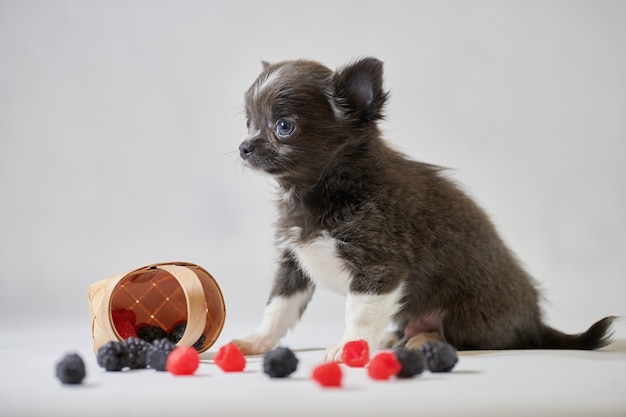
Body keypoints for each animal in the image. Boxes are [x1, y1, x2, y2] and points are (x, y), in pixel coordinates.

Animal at [232, 56, 612, 360]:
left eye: (284, 127)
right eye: (248, 123)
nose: (243, 147)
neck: (320, 190)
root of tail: (535, 323)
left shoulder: (378, 267)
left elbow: (358, 313)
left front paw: (350, 348)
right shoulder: (294, 263)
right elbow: (278, 309)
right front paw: (257, 341)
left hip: (466, 316)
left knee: (465, 338)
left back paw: (424, 339)